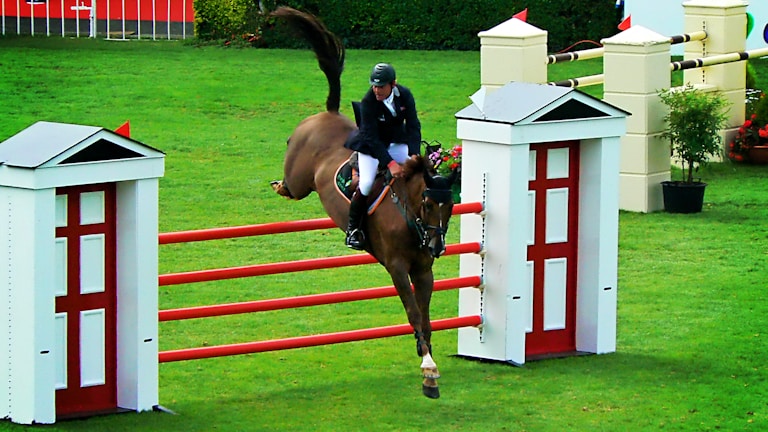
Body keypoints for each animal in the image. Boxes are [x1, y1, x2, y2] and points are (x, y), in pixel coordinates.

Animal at [269, 6, 459, 399]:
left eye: (449, 207)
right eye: (428, 205)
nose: (436, 246)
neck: (409, 218)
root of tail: (327, 113)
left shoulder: (423, 269)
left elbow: (426, 315)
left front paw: (428, 364)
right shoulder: (397, 267)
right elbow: (413, 312)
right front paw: (428, 367)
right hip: (300, 178)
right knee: (292, 187)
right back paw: (279, 185)